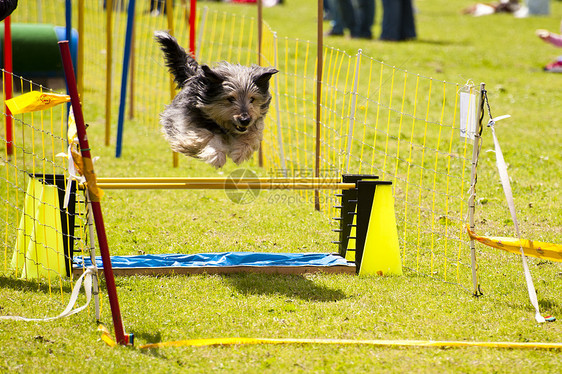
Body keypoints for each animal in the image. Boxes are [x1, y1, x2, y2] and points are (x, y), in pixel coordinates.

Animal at [154, 30, 276, 168]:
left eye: (252, 99)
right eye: (230, 99)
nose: (245, 120)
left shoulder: (254, 125)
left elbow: (251, 136)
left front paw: (239, 152)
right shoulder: (184, 125)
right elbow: (205, 135)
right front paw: (217, 156)